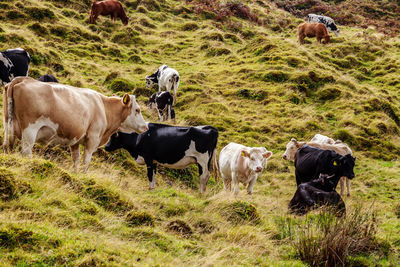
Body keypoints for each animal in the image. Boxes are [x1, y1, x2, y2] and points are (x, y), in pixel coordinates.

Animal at [3, 76, 148, 173]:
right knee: (26, 151)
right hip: (30, 130)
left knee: (6, 146)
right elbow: (86, 160)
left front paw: (76, 173)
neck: (104, 107)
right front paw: (84, 175)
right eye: (137, 110)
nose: (145, 127)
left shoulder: (76, 140)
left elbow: (76, 159)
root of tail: (24, 79)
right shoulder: (93, 138)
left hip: (7, 125)